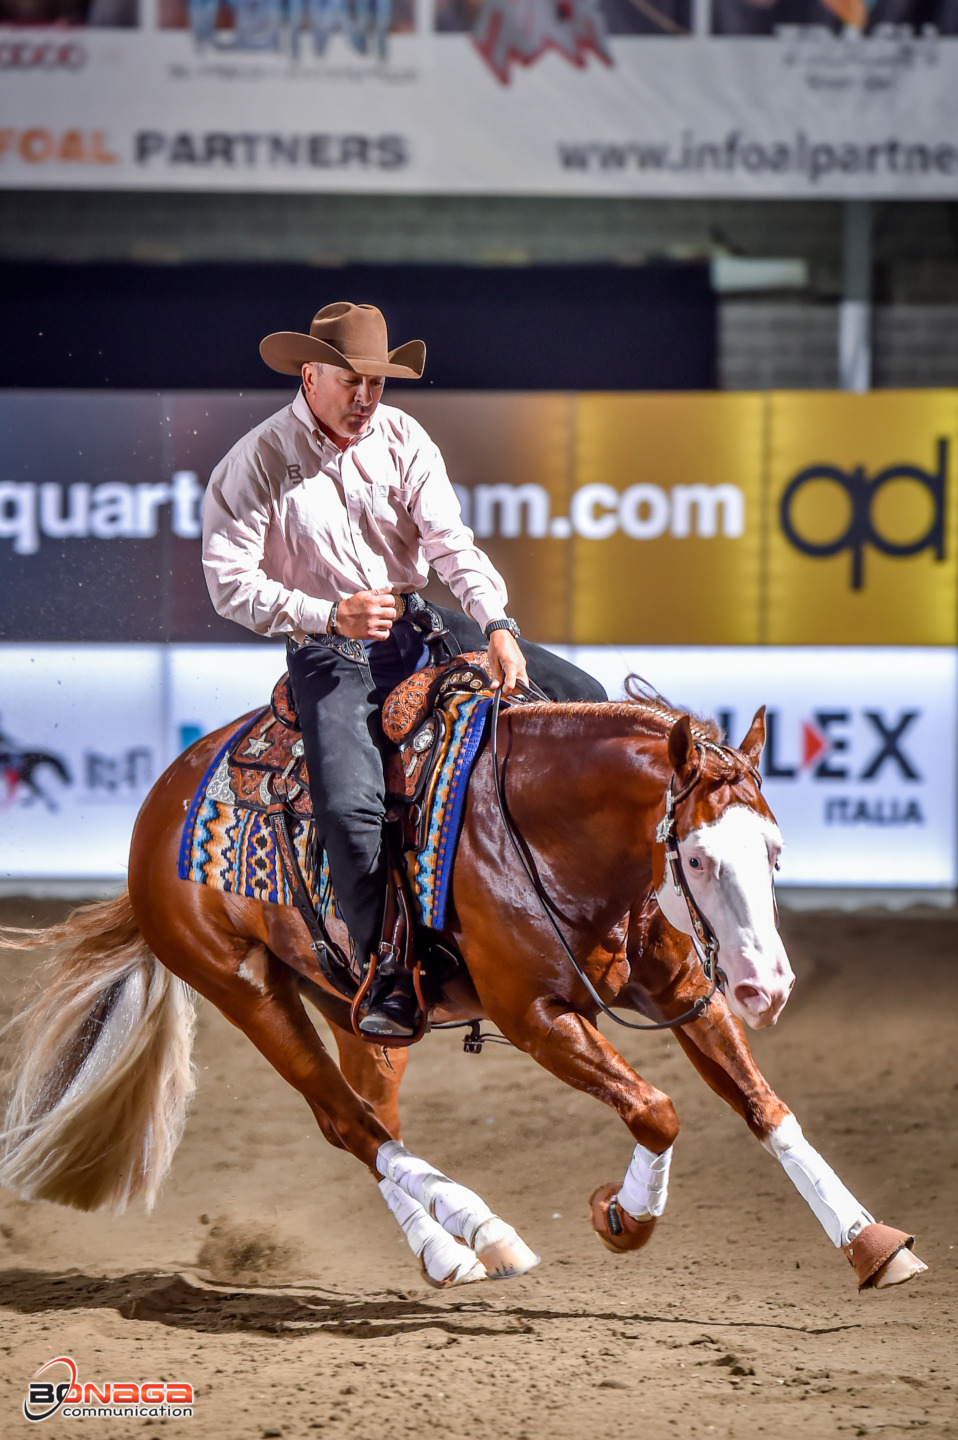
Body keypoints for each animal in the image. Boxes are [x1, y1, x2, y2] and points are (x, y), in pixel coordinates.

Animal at [0, 687, 926, 1294]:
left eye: (773, 849)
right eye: (695, 857)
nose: (767, 987)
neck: (550, 834)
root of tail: (159, 807)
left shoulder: (687, 991)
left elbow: (765, 1107)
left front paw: (871, 1243)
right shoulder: (538, 1018)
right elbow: (655, 1110)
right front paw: (622, 1217)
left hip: (360, 1012)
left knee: (371, 1120)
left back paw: (456, 1247)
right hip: (244, 988)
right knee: (348, 1124)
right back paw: (477, 1236)